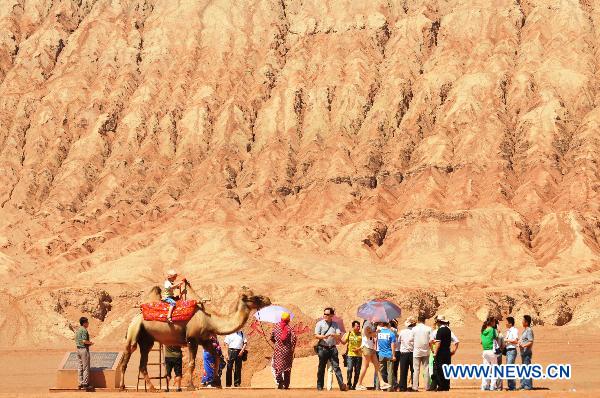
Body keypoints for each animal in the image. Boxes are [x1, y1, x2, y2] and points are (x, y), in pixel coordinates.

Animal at [119, 282, 270, 392]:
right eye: (255, 297)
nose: (268, 300)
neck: (209, 320)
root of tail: (136, 316)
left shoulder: (204, 340)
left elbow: (216, 356)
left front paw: (216, 383)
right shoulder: (192, 339)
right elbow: (192, 363)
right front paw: (191, 386)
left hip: (147, 340)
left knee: (142, 364)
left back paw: (152, 388)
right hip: (134, 330)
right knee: (127, 355)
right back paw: (122, 387)